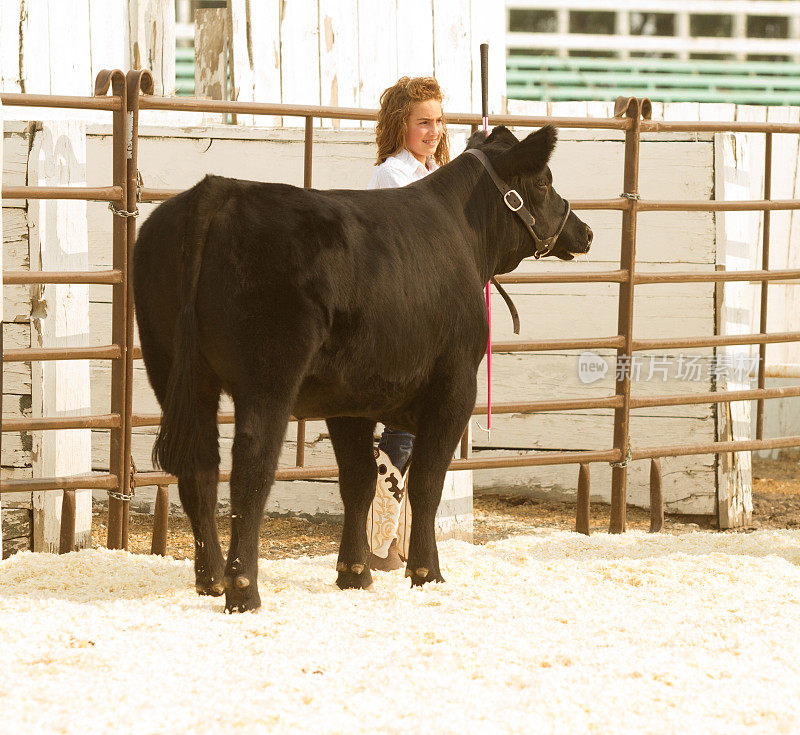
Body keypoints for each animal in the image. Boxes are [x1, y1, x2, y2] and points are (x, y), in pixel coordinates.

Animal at [134, 123, 592, 612]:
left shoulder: (349, 398)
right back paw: (243, 591)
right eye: (542, 182)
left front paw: (353, 572)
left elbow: (358, 481)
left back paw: (210, 579)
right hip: (267, 377)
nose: (584, 231)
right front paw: (427, 572)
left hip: (171, 369)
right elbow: (426, 483)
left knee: (199, 467)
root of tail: (220, 189)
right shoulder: (455, 387)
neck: (464, 233)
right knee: (250, 470)